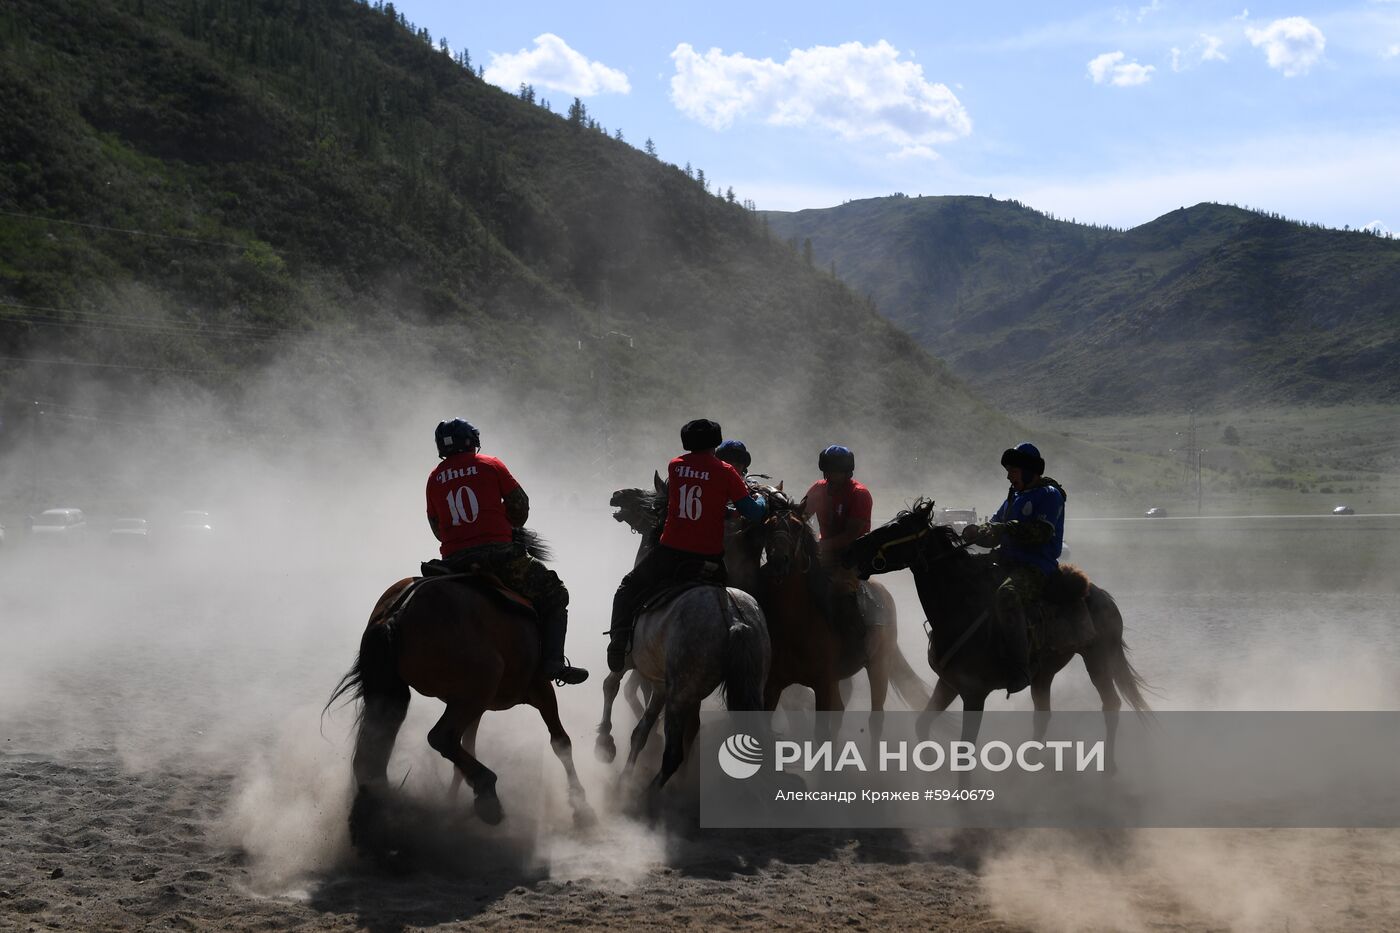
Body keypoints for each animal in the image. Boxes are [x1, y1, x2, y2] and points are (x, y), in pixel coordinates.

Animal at [324, 526, 593, 846]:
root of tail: (397, 614)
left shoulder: (476, 705)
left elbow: (467, 748)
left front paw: (453, 803)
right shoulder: (538, 688)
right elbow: (561, 742)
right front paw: (582, 808)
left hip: (454, 697)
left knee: (382, 755)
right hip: (479, 686)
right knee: (440, 737)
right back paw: (488, 797)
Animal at [840, 501, 1148, 762]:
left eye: (896, 529)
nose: (851, 549)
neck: (960, 606)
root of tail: (1102, 595)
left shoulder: (975, 694)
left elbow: (965, 752)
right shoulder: (949, 683)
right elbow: (922, 725)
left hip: (1098, 658)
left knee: (1111, 704)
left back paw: (1108, 768)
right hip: (1044, 672)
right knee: (1043, 714)